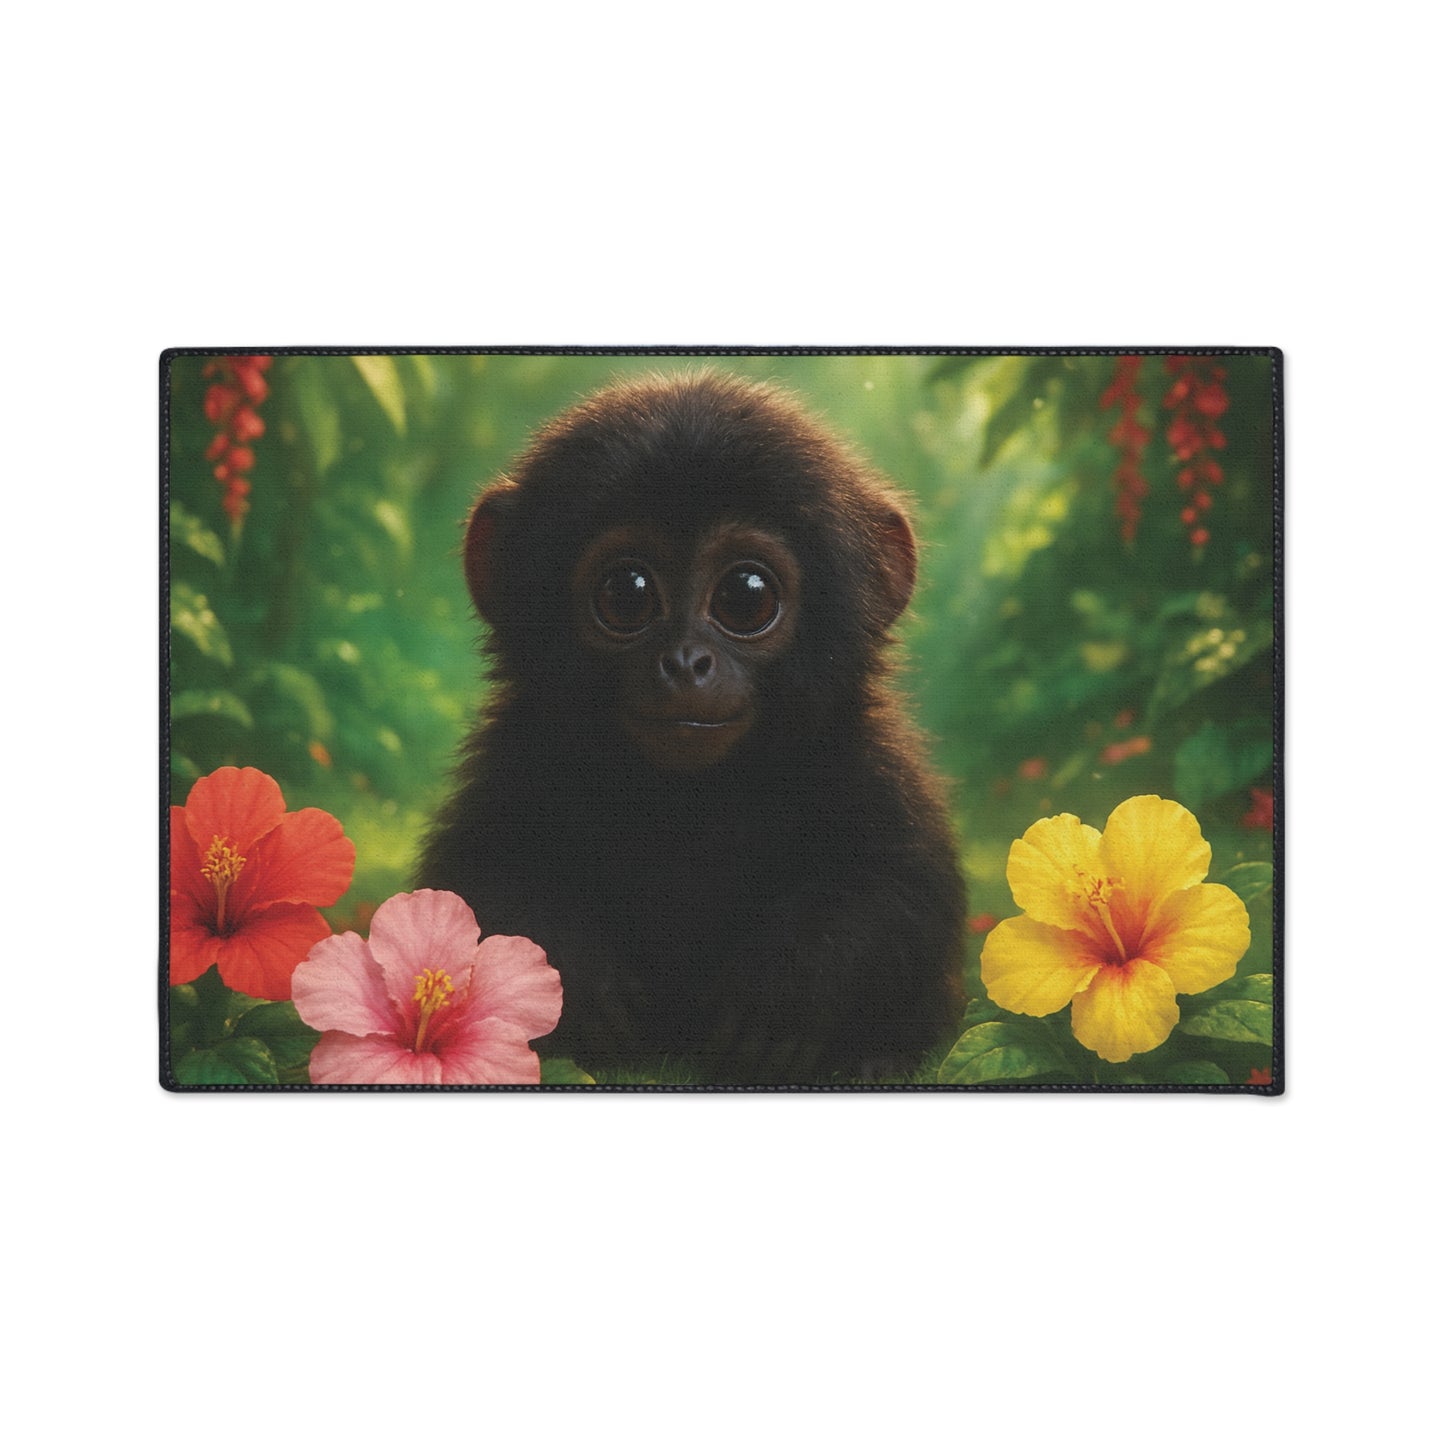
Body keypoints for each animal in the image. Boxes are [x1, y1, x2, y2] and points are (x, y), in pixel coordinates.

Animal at [417, 371, 964, 1083]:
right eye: (626, 591)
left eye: (746, 595)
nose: (685, 661)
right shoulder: (517, 757)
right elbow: (478, 880)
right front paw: (577, 974)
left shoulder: (867, 762)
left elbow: (902, 888)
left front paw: (787, 986)